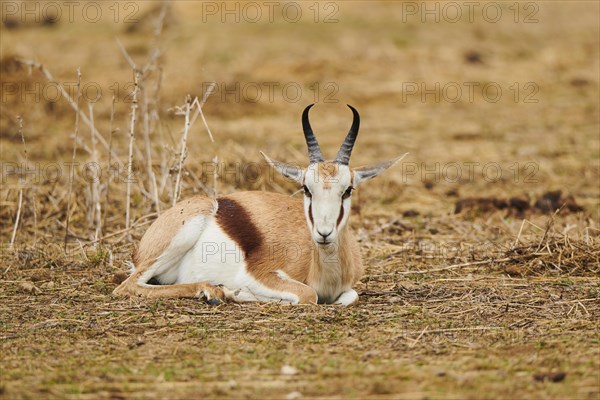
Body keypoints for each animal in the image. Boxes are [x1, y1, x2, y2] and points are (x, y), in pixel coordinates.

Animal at [113, 104, 404, 304]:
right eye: (305, 188)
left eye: (348, 189)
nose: (324, 233)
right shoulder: (260, 275)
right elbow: (307, 295)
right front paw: (236, 292)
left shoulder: (347, 290)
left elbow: (350, 296)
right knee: (126, 286)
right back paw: (212, 291)